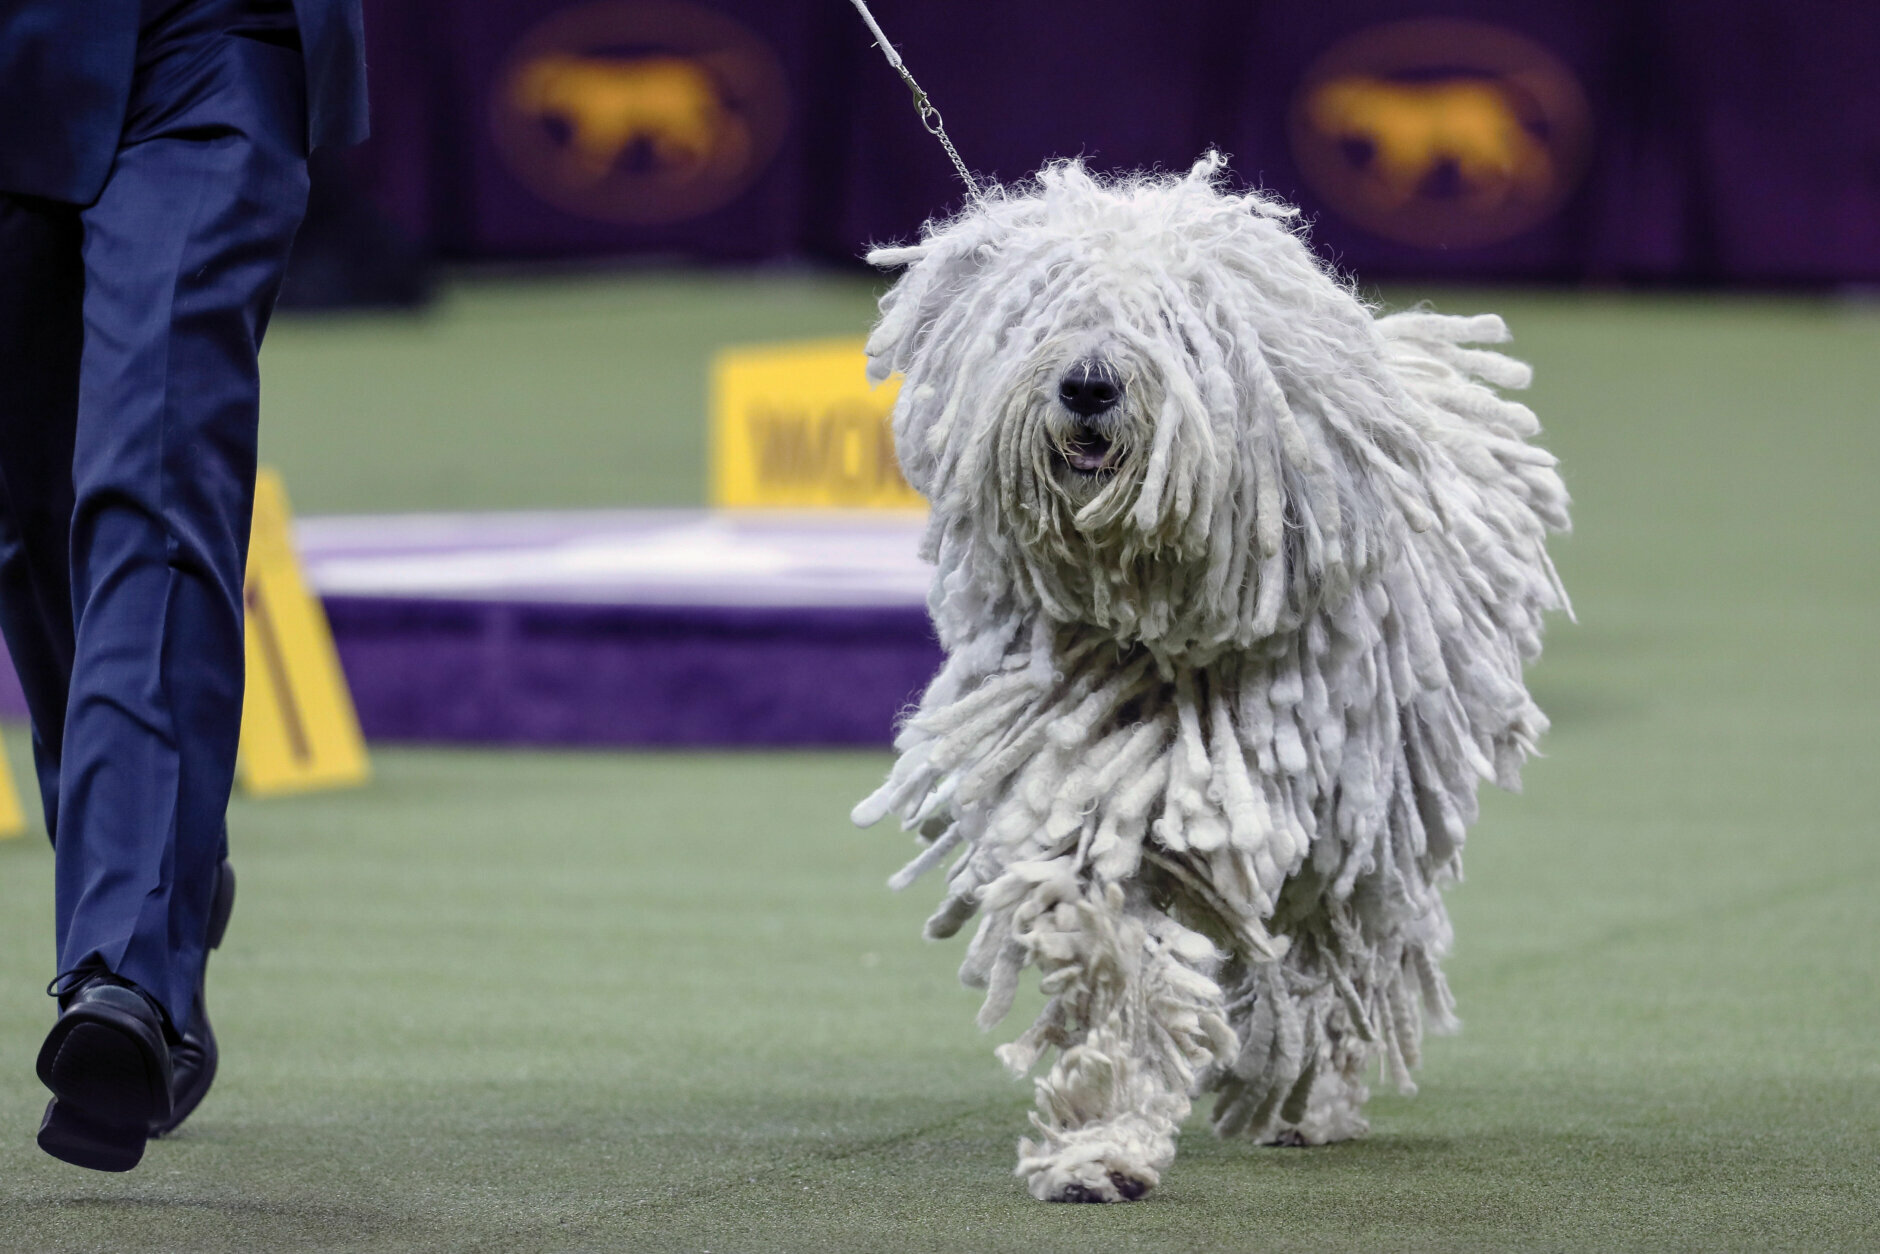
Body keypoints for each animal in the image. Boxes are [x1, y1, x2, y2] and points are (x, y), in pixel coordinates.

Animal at [853, 156, 1571, 1203]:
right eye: (1050, 307)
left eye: (1170, 320)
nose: (1088, 385)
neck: (1152, 619)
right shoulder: (1088, 779)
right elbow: (1112, 944)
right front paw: (1100, 1141)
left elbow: (1288, 949)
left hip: (1374, 816)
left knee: (1336, 948)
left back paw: (1303, 1098)